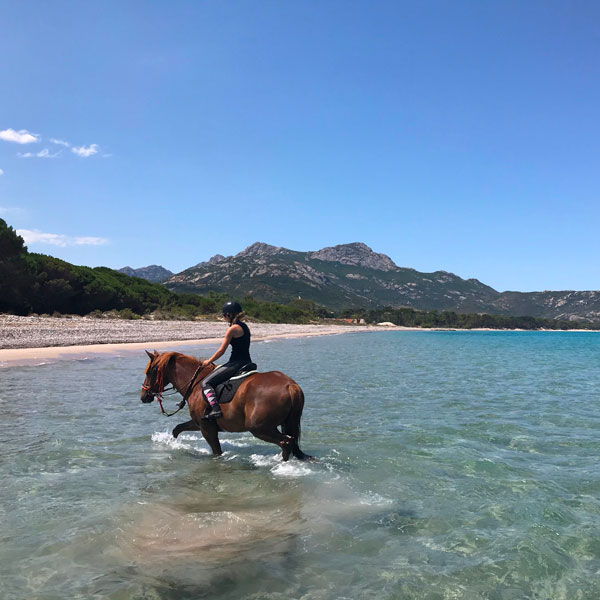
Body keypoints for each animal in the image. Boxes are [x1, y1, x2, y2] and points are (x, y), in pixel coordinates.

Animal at [139, 350, 312, 462]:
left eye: (149, 372)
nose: (143, 396)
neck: (195, 383)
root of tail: (290, 385)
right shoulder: (199, 423)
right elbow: (177, 429)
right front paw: (173, 444)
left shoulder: (207, 428)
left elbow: (217, 452)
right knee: (290, 442)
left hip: (259, 428)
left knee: (286, 442)